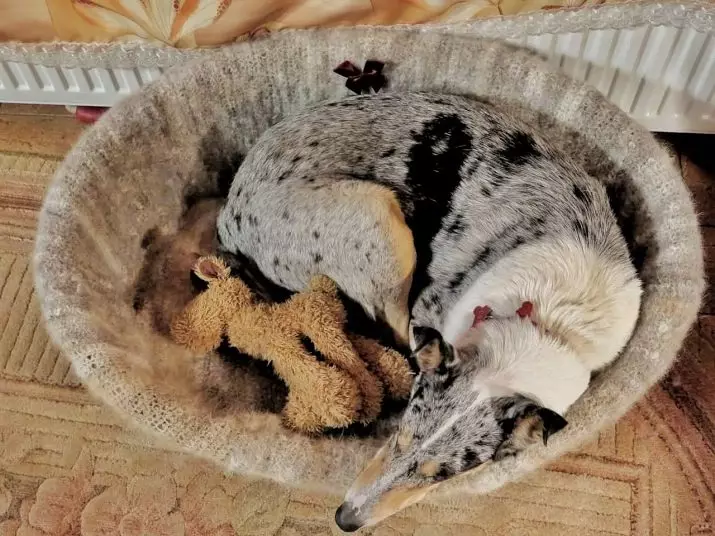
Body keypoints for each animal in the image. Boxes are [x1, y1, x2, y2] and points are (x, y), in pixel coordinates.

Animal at [218, 94, 644, 528]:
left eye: (442, 475)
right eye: (399, 435)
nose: (345, 520)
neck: (547, 321)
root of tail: (229, 217)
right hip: (383, 228)